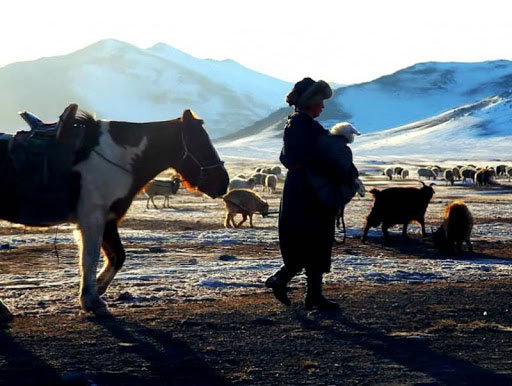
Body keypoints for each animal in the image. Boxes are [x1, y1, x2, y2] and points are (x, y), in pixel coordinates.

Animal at [0, 107, 228, 316]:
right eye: (200, 143)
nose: (223, 183)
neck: (117, 156)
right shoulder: (93, 217)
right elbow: (90, 258)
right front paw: (91, 299)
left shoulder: (108, 219)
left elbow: (117, 256)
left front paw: (97, 289)